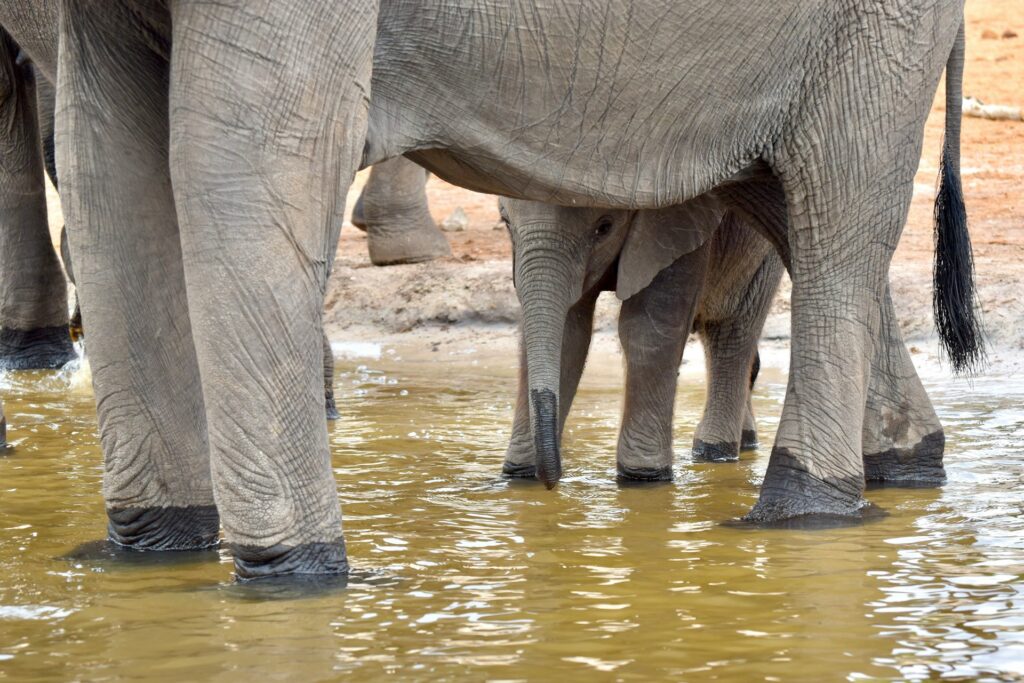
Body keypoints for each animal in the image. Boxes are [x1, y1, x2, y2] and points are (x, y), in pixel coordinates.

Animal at [502, 200, 784, 481]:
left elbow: (649, 324)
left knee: (731, 329)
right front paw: (520, 474)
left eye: (604, 228)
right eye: (505, 222)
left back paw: (714, 452)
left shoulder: (680, 224)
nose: (554, 479)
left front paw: (644, 476)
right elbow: (569, 330)